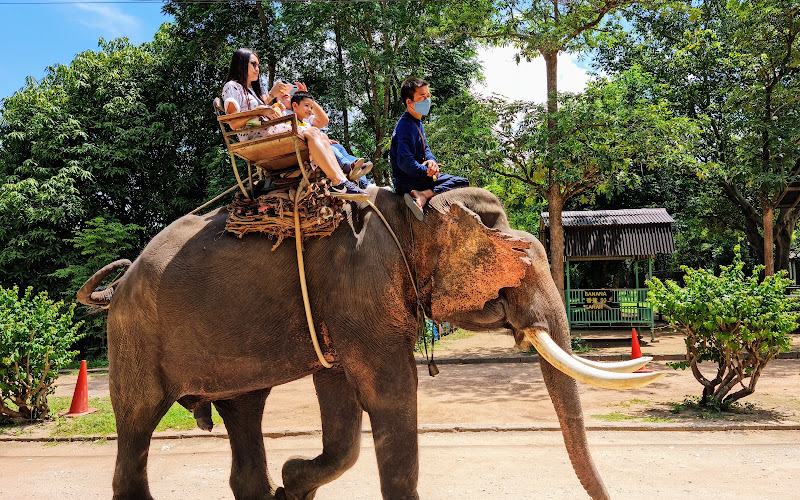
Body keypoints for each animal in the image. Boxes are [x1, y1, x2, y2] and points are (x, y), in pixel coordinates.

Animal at [77, 186, 663, 500]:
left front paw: (294, 483)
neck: (408, 210)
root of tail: (117, 285)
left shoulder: (340, 310)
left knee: (244, 414)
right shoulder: (358, 291)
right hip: (134, 339)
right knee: (137, 423)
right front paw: (299, 481)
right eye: (519, 260)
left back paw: (269, 486)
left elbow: (341, 405)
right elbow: (390, 394)